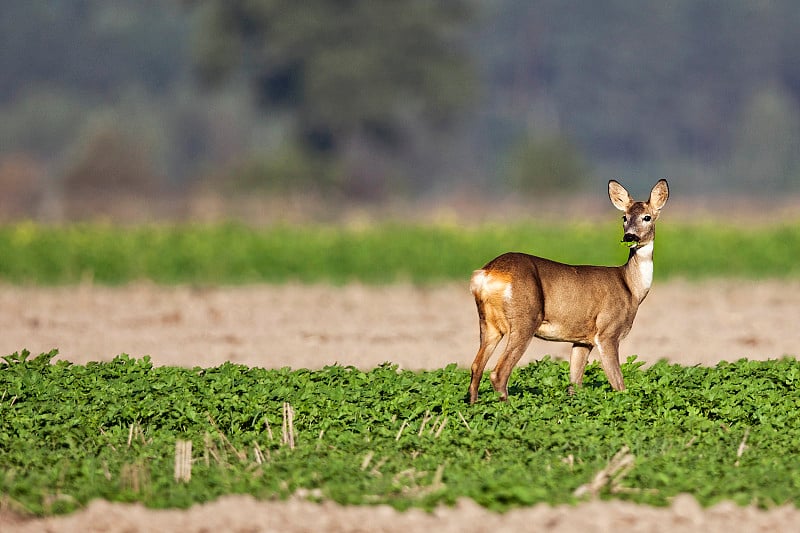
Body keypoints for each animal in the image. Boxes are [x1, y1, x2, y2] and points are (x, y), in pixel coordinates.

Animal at [468, 179, 668, 404]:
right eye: (624, 217)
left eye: (647, 217)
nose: (630, 236)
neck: (631, 288)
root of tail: (487, 273)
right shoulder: (607, 331)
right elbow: (618, 384)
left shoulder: (582, 340)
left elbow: (574, 383)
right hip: (524, 319)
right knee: (498, 372)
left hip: (489, 323)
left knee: (476, 367)